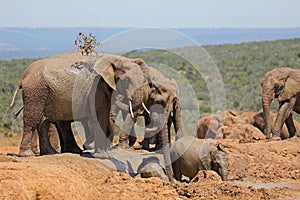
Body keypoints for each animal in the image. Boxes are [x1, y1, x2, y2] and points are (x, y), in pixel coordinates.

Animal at [10, 51, 149, 158]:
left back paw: (51, 153)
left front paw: (104, 154)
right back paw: (27, 155)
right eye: (127, 80)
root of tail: (24, 76)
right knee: (32, 120)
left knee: (43, 122)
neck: (117, 60)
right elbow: (100, 115)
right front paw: (102, 156)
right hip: (36, 92)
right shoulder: (96, 87)